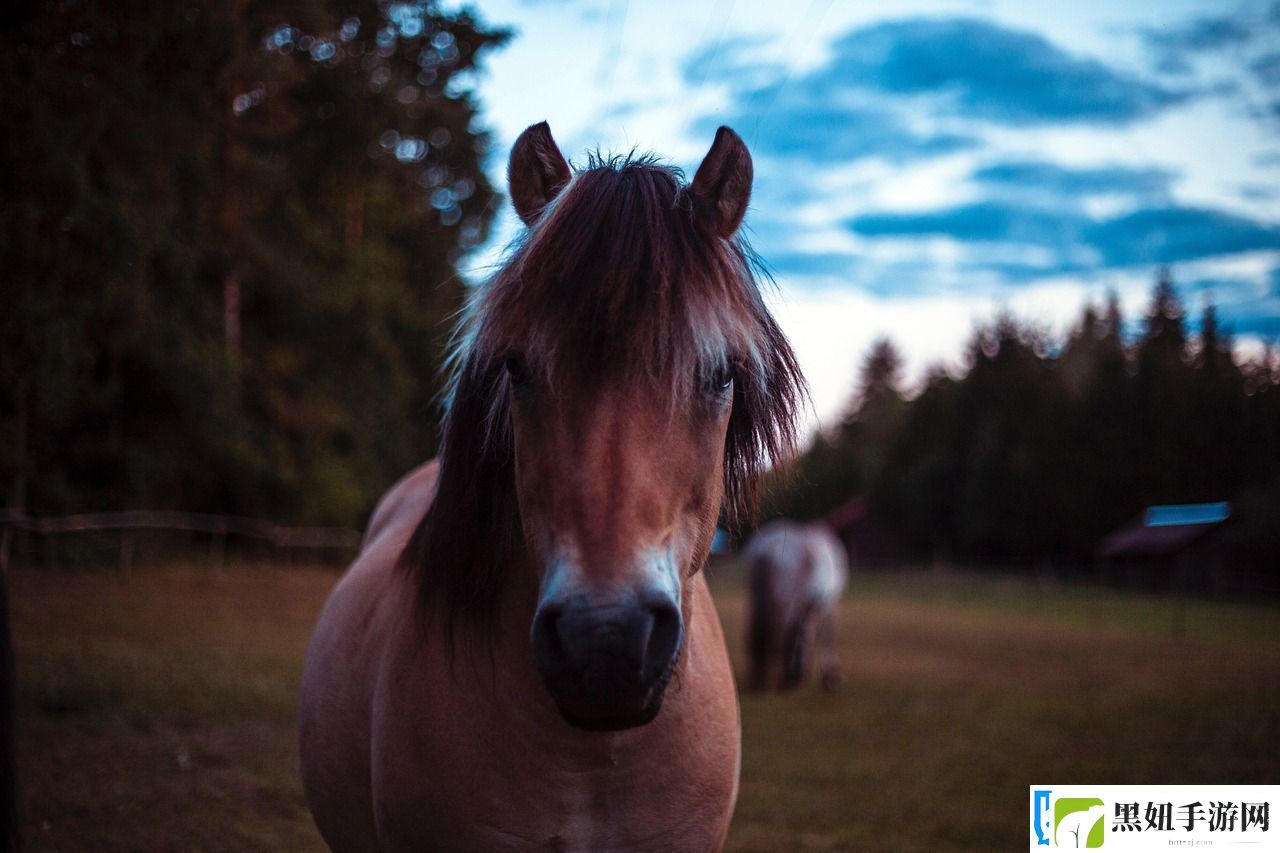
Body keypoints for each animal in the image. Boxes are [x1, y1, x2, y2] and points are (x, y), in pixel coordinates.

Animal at [747, 517, 844, 691]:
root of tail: (767, 550)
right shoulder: (828, 603)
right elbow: (828, 636)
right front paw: (831, 677)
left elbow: (804, 634)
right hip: (786, 603)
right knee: (784, 633)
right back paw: (781, 678)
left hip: (758, 600)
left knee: (760, 632)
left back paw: (761, 679)